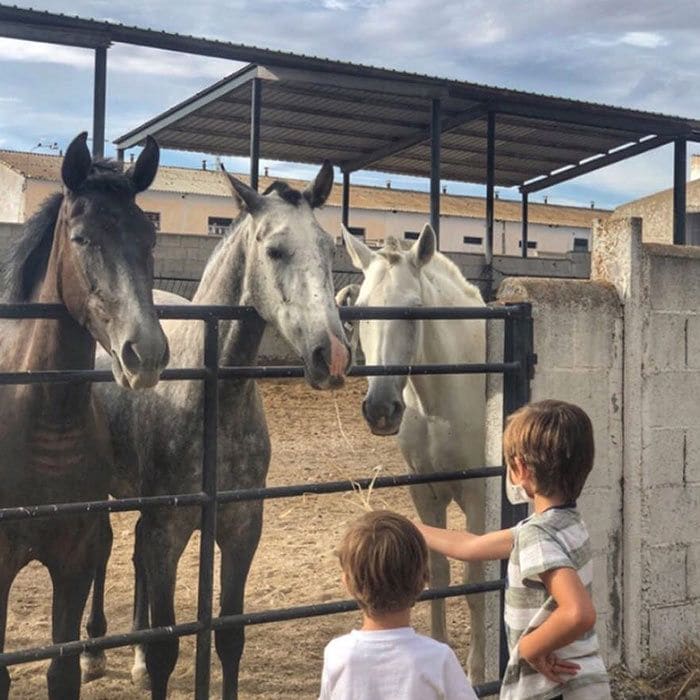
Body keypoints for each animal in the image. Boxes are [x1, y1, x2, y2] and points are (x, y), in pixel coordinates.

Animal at [87, 163, 350, 700]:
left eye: (327, 247)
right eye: (274, 250)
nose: (331, 356)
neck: (212, 397)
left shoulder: (241, 527)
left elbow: (228, 635)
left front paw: (147, 658)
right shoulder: (167, 529)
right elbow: (167, 649)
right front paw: (142, 658)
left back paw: (133, 657)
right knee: (101, 547)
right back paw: (93, 653)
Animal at [340, 226, 486, 684]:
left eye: (413, 309)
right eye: (361, 312)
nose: (381, 408)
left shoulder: (478, 494)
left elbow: (476, 580)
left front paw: (478, 673)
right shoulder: (426, 493)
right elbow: (437, 575)